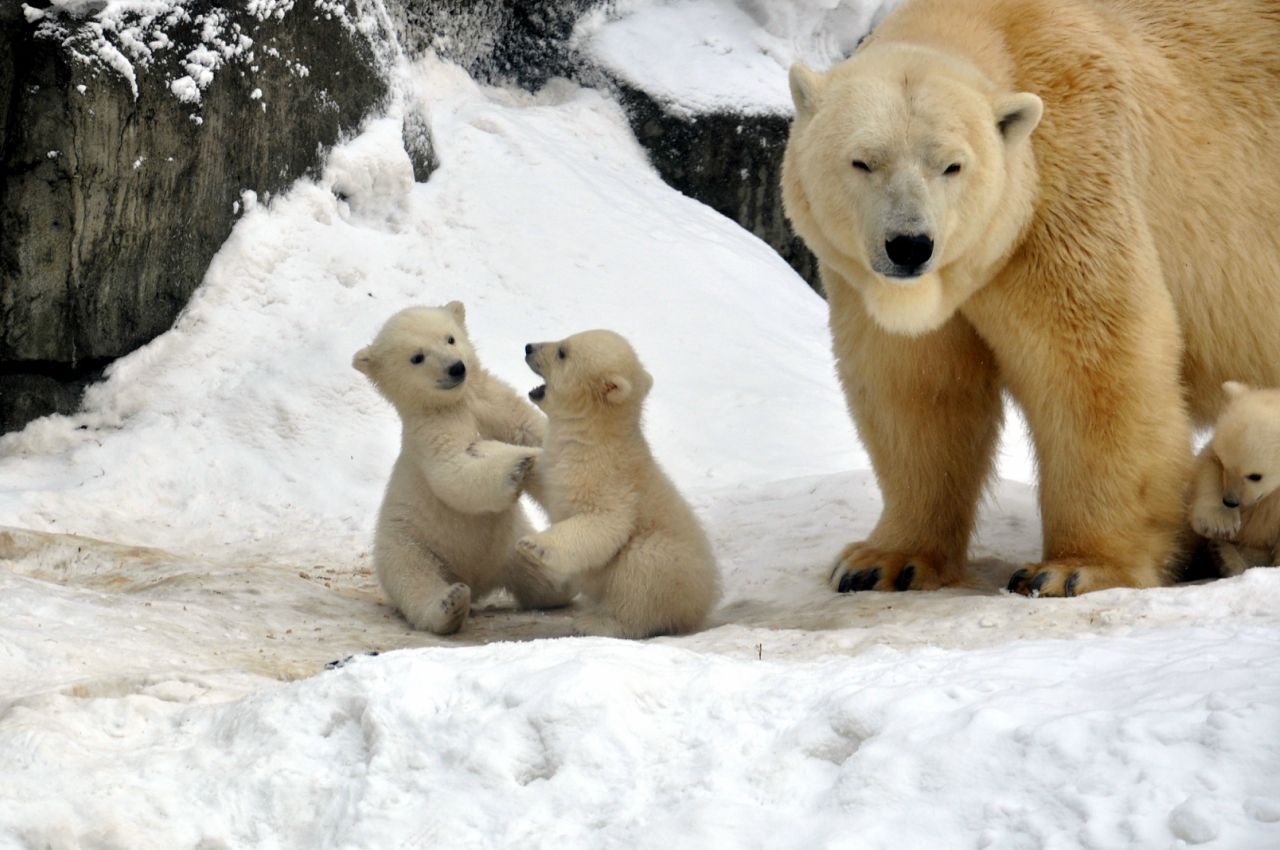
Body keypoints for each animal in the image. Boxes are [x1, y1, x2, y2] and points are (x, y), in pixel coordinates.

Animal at [778, 0, 1280, 596]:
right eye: (862, 161)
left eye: (952, 165)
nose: (910, 245)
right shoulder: (874, 282)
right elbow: (916, 387)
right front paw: (880, 562)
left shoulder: (1066, 187)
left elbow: (1092, 366)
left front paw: (1074, 569)